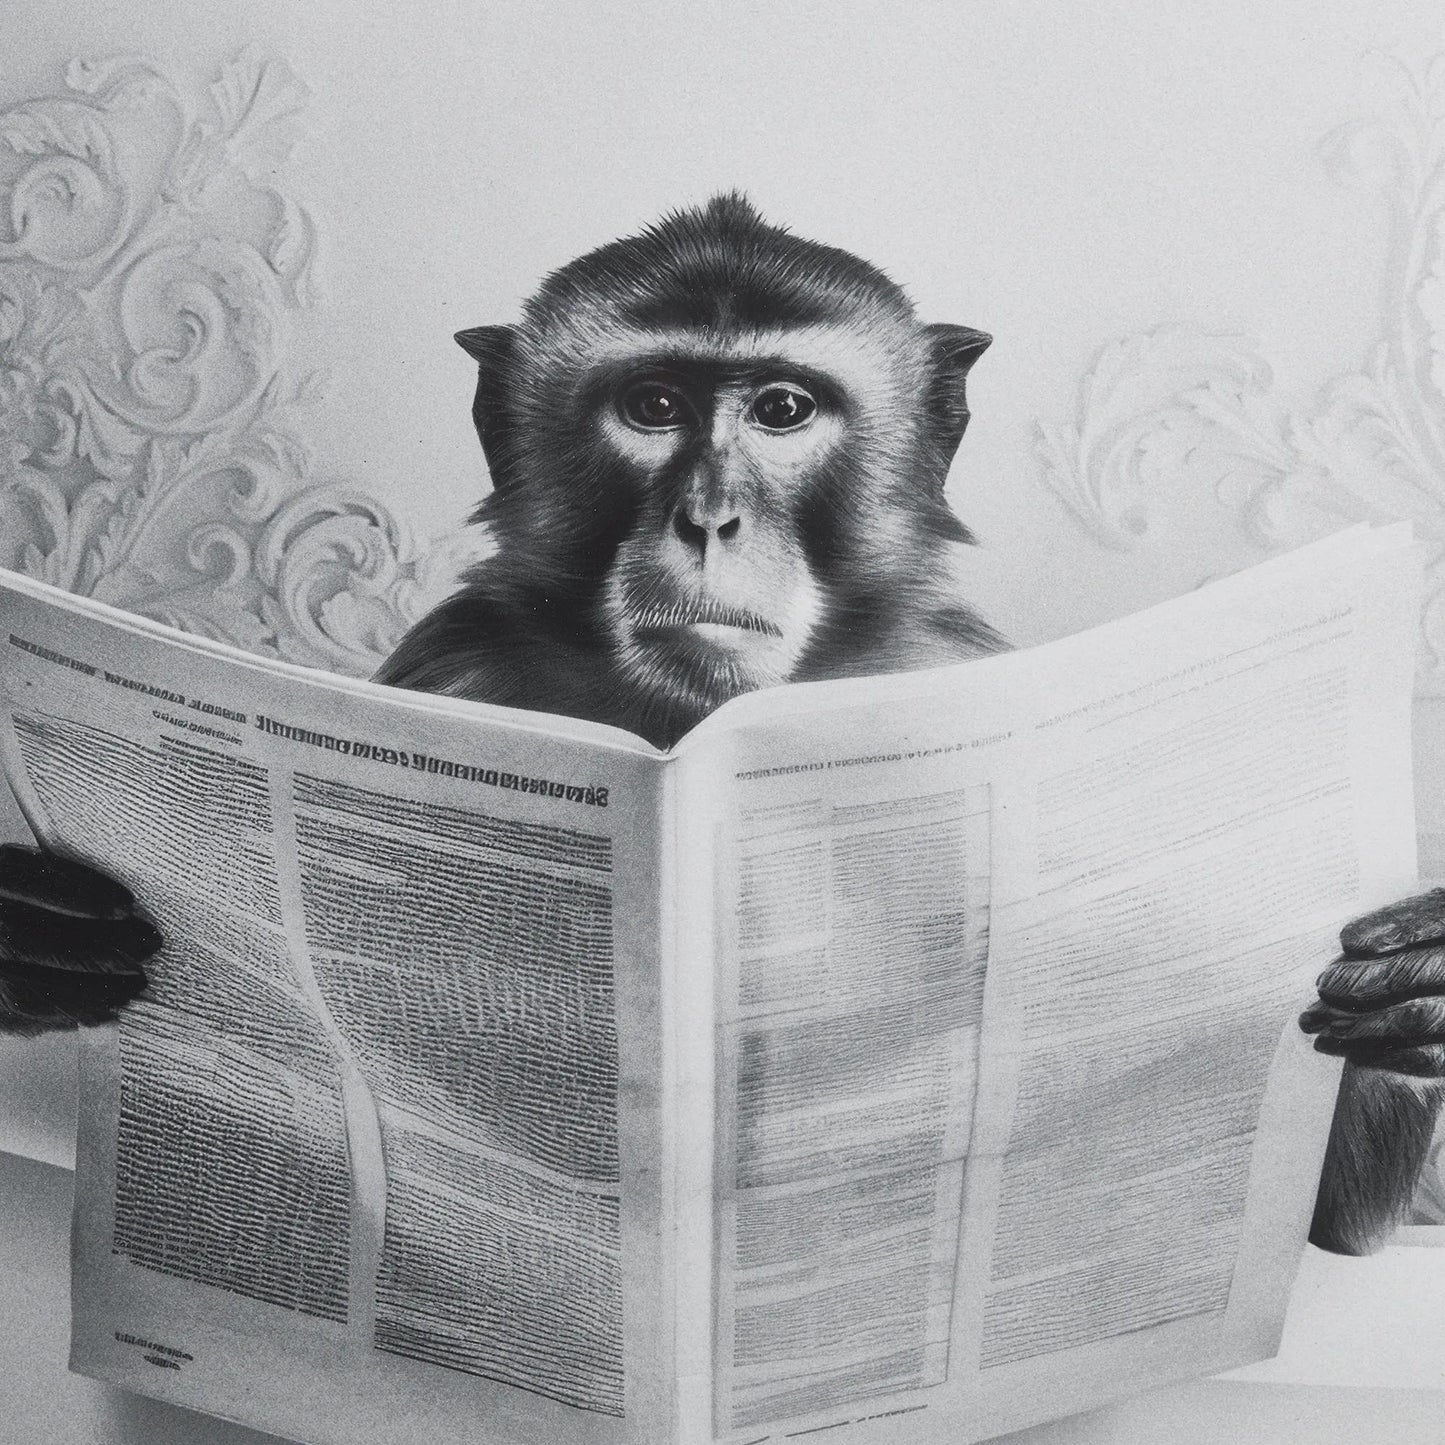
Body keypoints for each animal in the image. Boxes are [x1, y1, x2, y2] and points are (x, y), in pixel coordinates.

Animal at [1, 193, 1443, 1259]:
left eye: (782, 409)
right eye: (652, 407)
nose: (707, 518)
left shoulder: (947, 671)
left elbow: (1321, 1225)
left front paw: (1415, 982)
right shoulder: (455, 669)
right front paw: (35, 942)